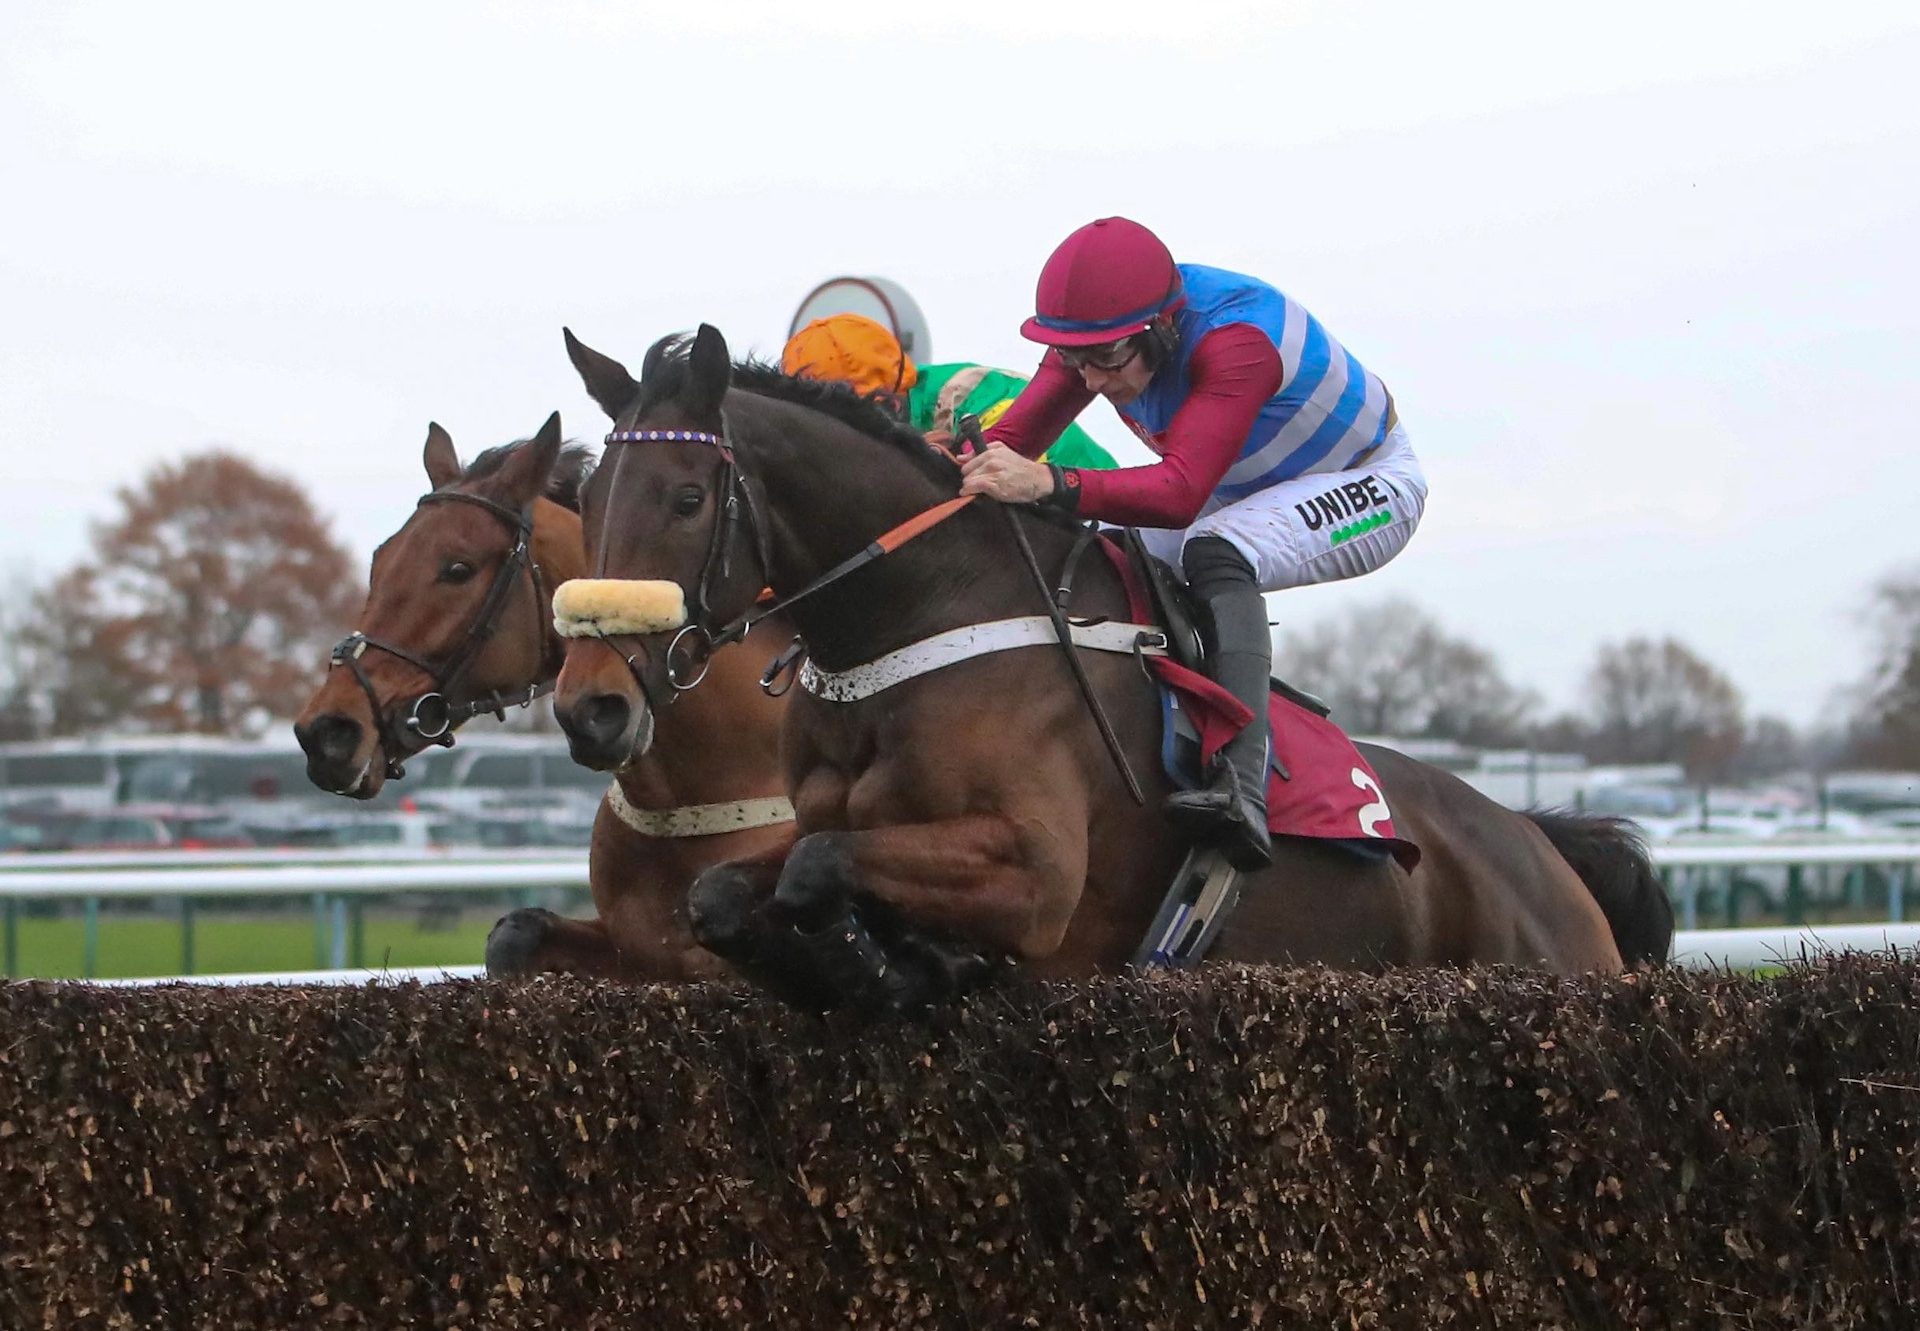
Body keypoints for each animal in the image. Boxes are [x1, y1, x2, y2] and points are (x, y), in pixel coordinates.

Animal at [552, 326, 1666, 1014]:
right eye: (588, 492)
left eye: (688, 496)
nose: (588, 707)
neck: (920, 619)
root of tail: (1538, 843)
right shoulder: (807, 830)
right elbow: (730, 895)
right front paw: (870, 958)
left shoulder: (1036, 874)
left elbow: (824, 870)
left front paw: (908, 961)